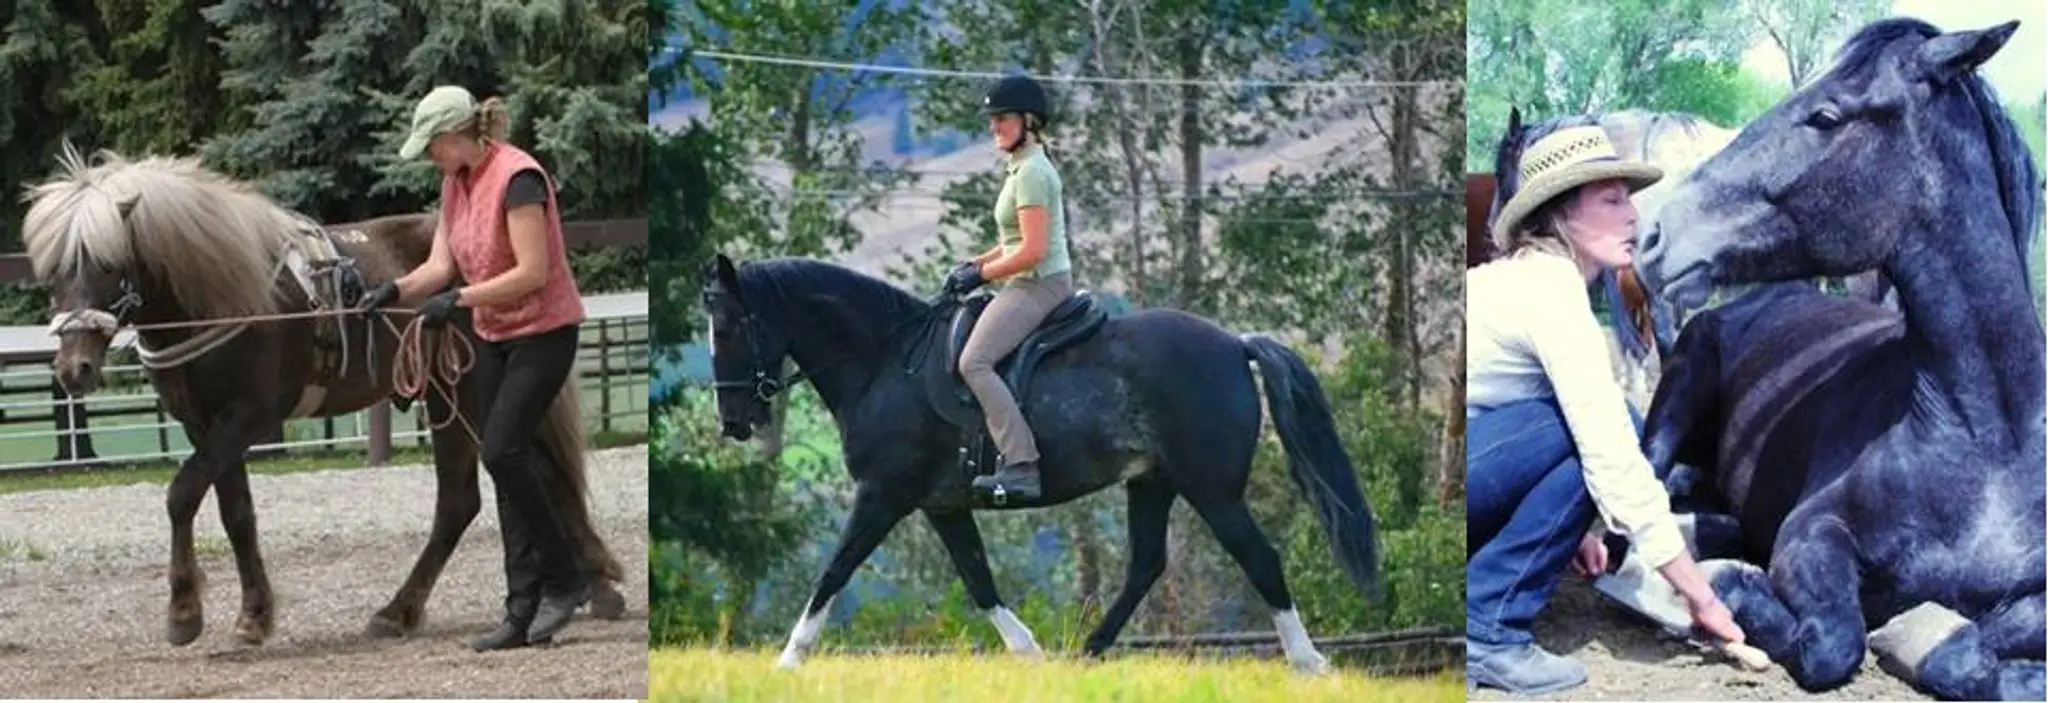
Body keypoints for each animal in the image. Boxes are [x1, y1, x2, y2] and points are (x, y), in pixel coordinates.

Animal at [20, 145, 628, 647]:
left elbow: (182, 493)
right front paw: (254, 615)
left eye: (107, 262)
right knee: (480, 495)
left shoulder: (249, 417)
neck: (227, 295)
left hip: (470, 393)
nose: (74, 367)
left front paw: (185, 614)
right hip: (450, 397)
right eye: (52, 270)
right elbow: (236, 513)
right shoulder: (205, 423)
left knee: (519, 482)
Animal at [698, 253, 1383, 672]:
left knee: (1259, 559)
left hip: (1212, 490)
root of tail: (1236, 345)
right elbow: (978, 580)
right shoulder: (942, 505)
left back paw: (1309, 662)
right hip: (1153, 483)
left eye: (727, 326)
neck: (887, 362)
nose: (733, 423)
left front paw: (789, 658)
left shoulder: (882, 494)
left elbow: (834, 571)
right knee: (1146, 564)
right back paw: (1089, 652)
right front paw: (1029, 654)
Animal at [1634, 18, 2044, 700]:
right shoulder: (1813, 533)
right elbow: (1833, 642)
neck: (1990, 444)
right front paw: (1739, 586)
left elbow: (1966, 652)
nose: (1652, 235)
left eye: (1825, 116)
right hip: (1676, 396)